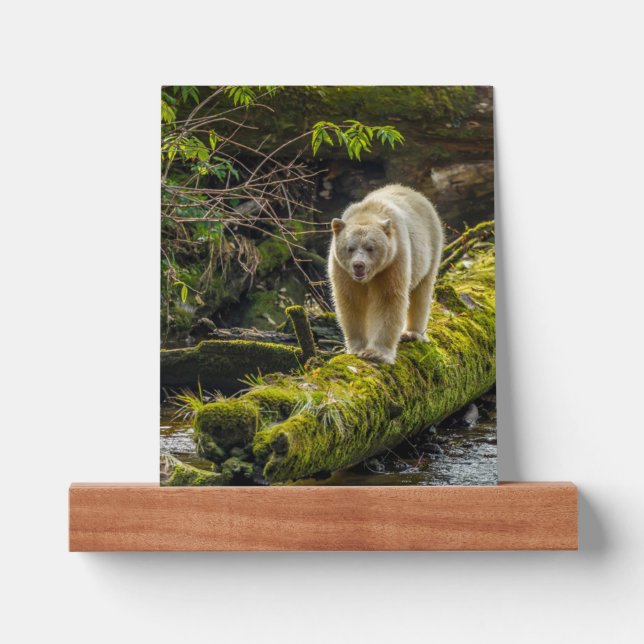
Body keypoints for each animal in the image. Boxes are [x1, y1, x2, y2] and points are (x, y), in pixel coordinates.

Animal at [328, 184, 444, 364]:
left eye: (370, 248)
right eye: (350, 248)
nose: (358, 265)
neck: (367, 214)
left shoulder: (393, 262)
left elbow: (388, 300)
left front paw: (375, 353)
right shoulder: (342, 270)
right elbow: (351, 302)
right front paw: (357, 348)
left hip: (429, 249)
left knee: (421, 293)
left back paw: (412, 333)